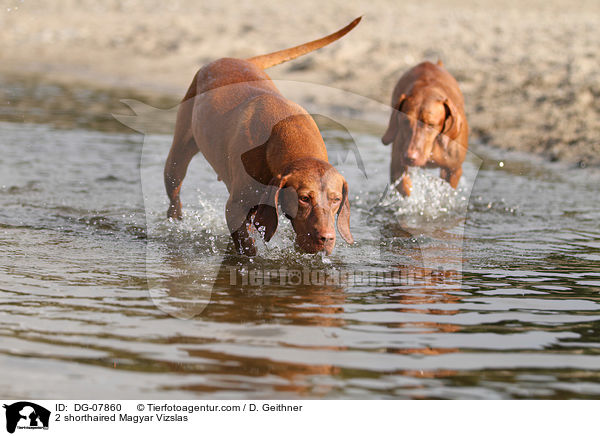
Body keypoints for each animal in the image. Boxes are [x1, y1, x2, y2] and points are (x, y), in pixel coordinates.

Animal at [164, 17, 360, 255]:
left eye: (336, 199)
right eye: (304, 198)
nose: (327, 238)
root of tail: (234, 58)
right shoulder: (235, 209)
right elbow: (248, 248)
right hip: (177, 160)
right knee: (175, 197)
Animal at [380, 60, 468, 197]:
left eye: (431, 124)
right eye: (405, 121)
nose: (409, 157)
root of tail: (429, 63)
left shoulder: (454, 170)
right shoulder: (397, 165)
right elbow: (405, 187)